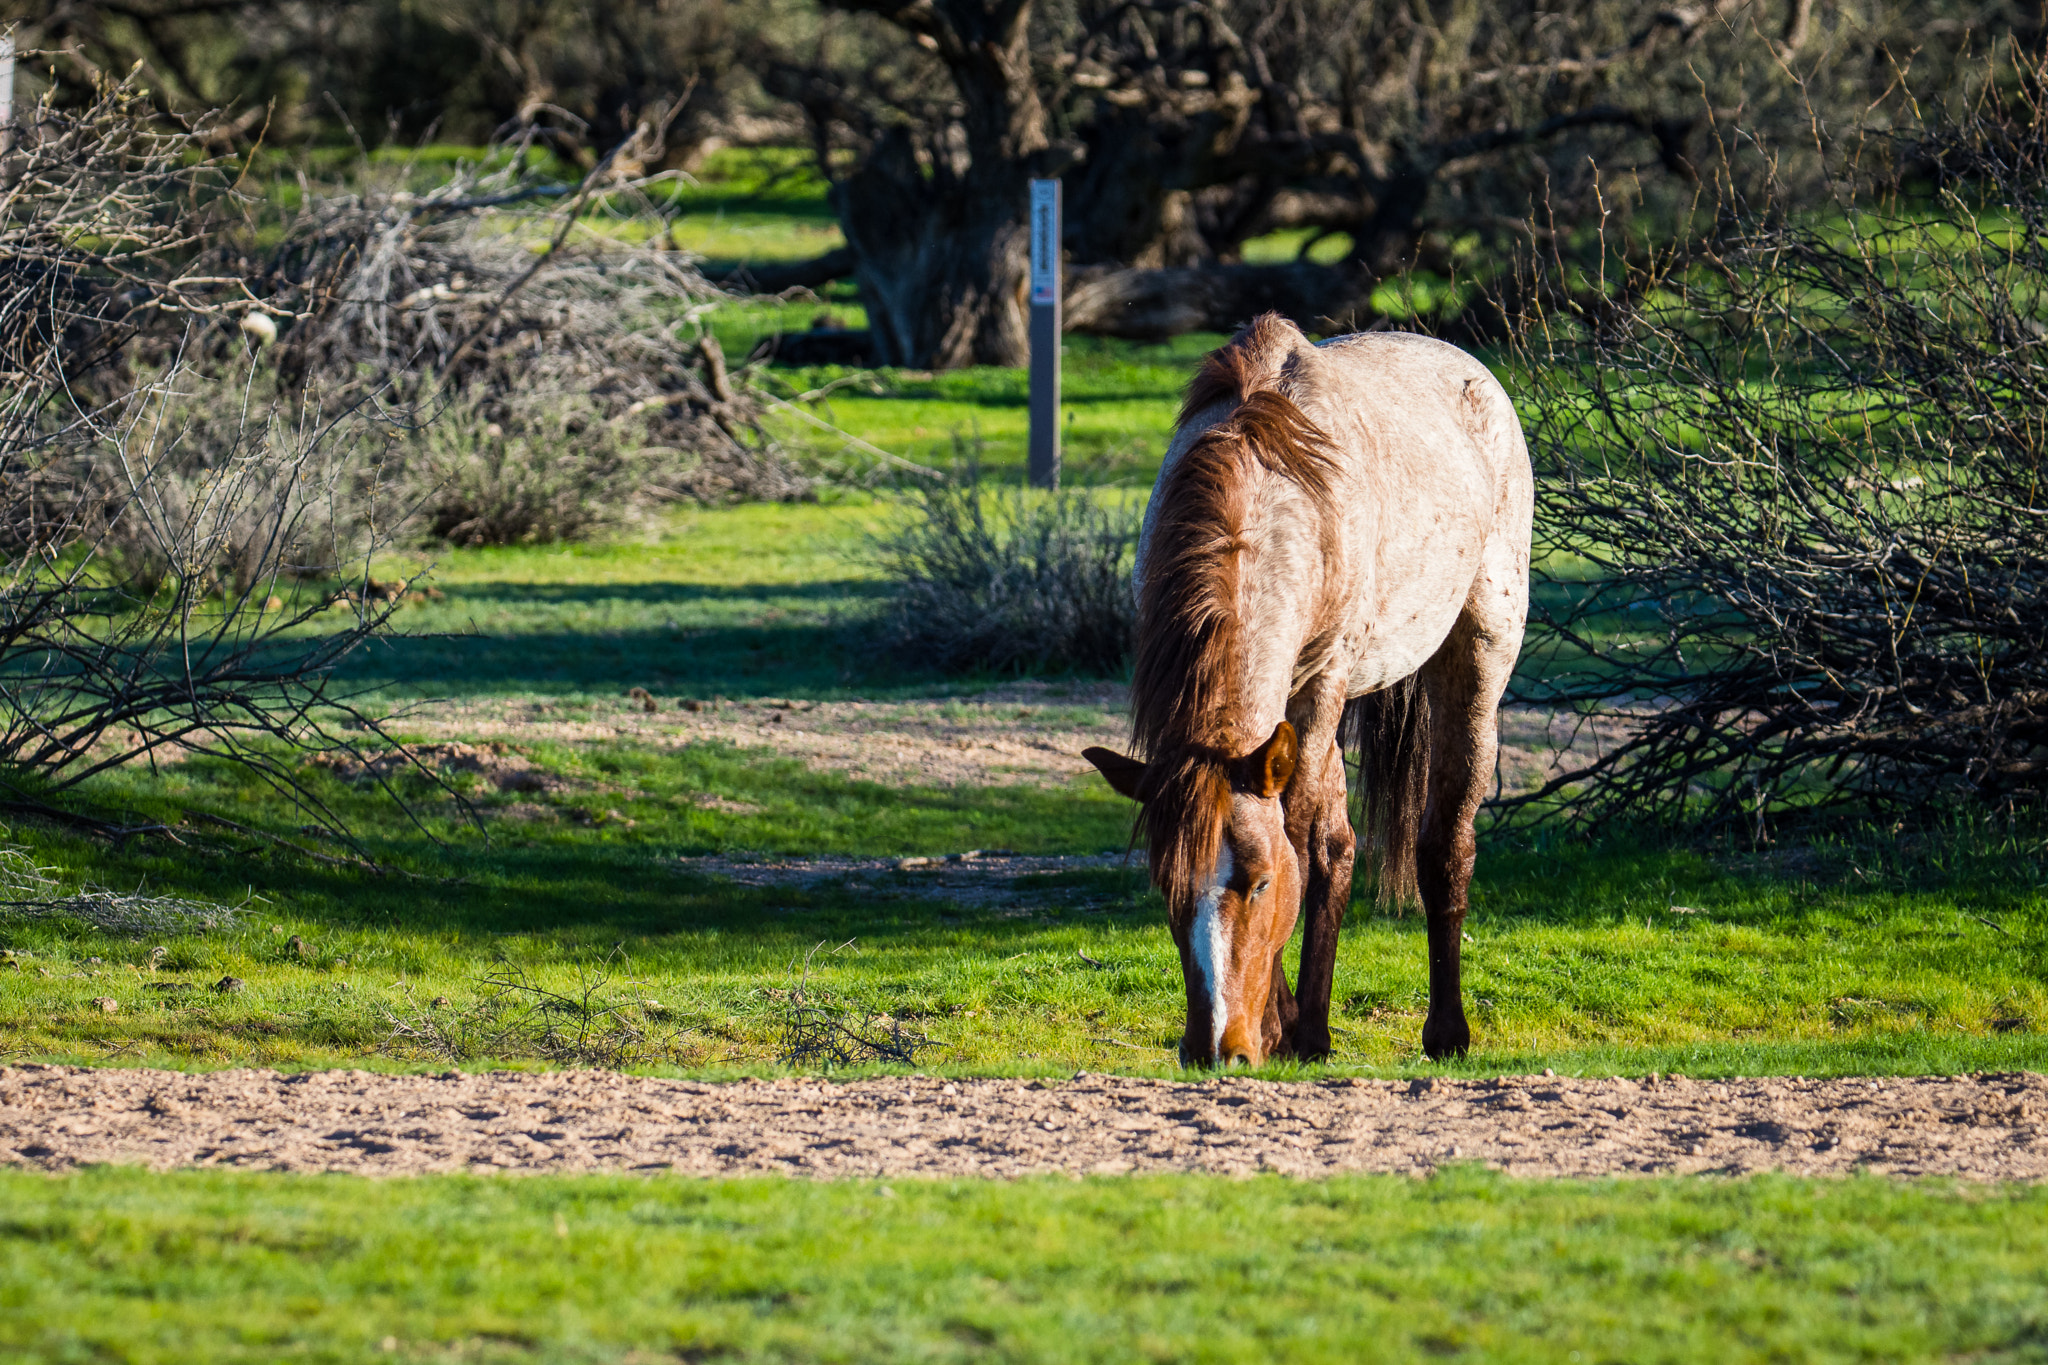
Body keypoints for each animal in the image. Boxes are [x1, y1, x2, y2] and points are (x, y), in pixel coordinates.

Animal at [1081, 313, 1531, 1064]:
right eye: (1168, 890)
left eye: (1260, 883)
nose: (1214, 1047)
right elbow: (1320, 845)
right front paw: (1283, 1022)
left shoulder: (1319, 688)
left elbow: (1300, 841)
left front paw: (1288, 1027)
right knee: (1345, 844)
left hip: (1475, 660)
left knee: (1443, 843)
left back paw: (1445, 1030)